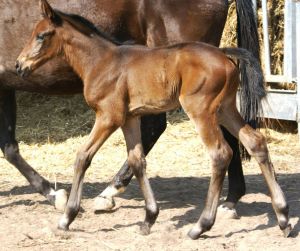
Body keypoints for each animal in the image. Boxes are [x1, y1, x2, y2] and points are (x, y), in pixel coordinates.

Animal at [15, 0, 290, 239]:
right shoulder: (129, 118)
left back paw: (200, 226)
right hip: (225, 109)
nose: (19, 65)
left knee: (220, 153)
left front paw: (67, 218)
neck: (101, 62)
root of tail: (224, 53)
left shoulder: (108, 116)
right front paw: (149, 218)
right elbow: (137, 161)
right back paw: (284, 218)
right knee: (255, 142)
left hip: (201, 110)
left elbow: (83, 156)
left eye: (42, 35)